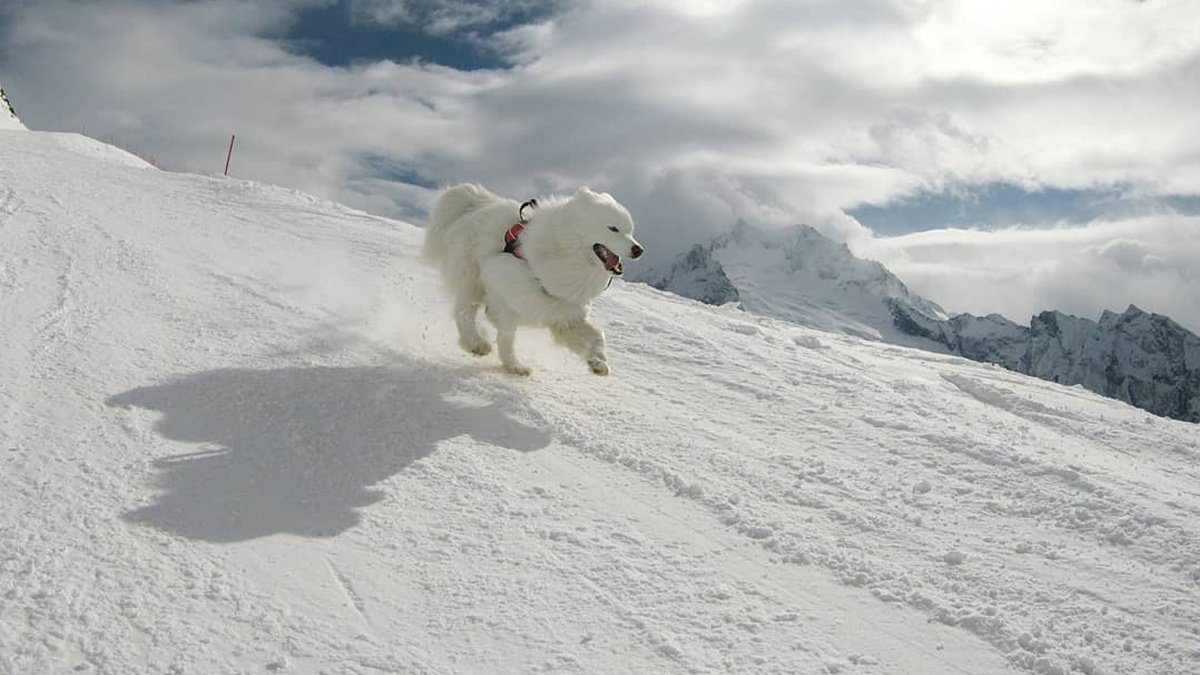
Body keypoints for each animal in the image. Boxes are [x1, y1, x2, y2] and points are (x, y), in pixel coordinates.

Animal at [427, 181, 643, 374]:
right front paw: (513, 365)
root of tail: (476, 202)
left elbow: (598, 335)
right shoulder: (502, 282)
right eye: (613, 228)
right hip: (470, 277)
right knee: (463, 311)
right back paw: (476, 342)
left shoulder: (565, 313)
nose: (639, 249)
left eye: (630, 231)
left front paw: (598, 363)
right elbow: (506, 337)